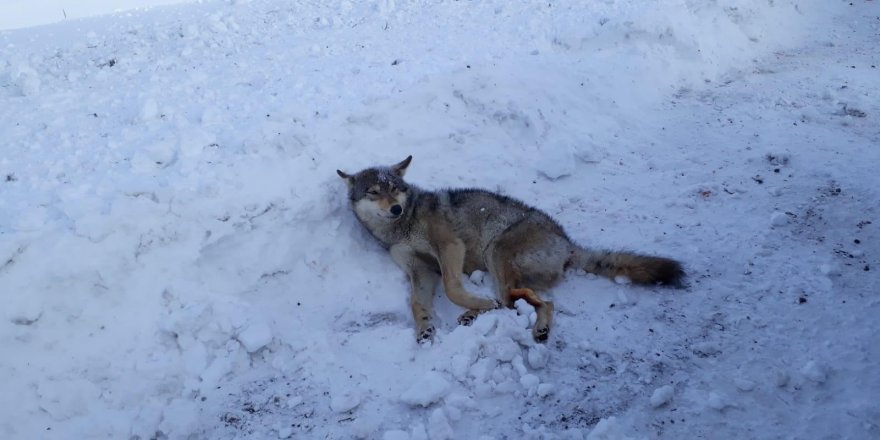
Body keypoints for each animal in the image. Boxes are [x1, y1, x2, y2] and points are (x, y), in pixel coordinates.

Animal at [334, 156, 684, 344]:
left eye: (395, 189)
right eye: (374, 192)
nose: (394, 208)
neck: (402, 226)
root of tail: (569, 245)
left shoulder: (450, 247)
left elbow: (452, 287)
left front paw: (473, 303)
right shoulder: (420, 270)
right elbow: (415, 302)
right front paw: (424, 329)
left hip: (497, 251)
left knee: (520, 300)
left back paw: (493, 313)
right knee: (521, 300)